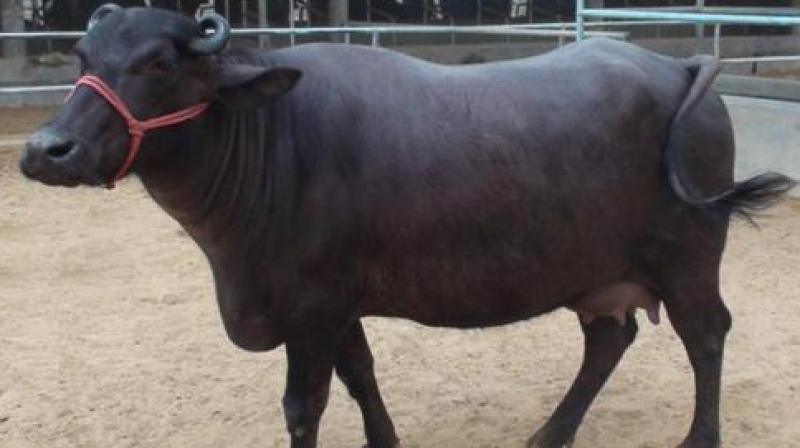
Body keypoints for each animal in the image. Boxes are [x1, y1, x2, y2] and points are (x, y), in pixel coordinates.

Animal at [19, 5, 795, 448]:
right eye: (84, 57)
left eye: (158, 61)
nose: (46, 149)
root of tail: (676, 62)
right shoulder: (336, 305)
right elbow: (361, 377)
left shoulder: (310, 308)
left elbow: (304, 405)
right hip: (598, 271)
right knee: (609, 340)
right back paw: (549, 433)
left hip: (690, 256)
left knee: (707, 335)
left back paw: (697, 440)